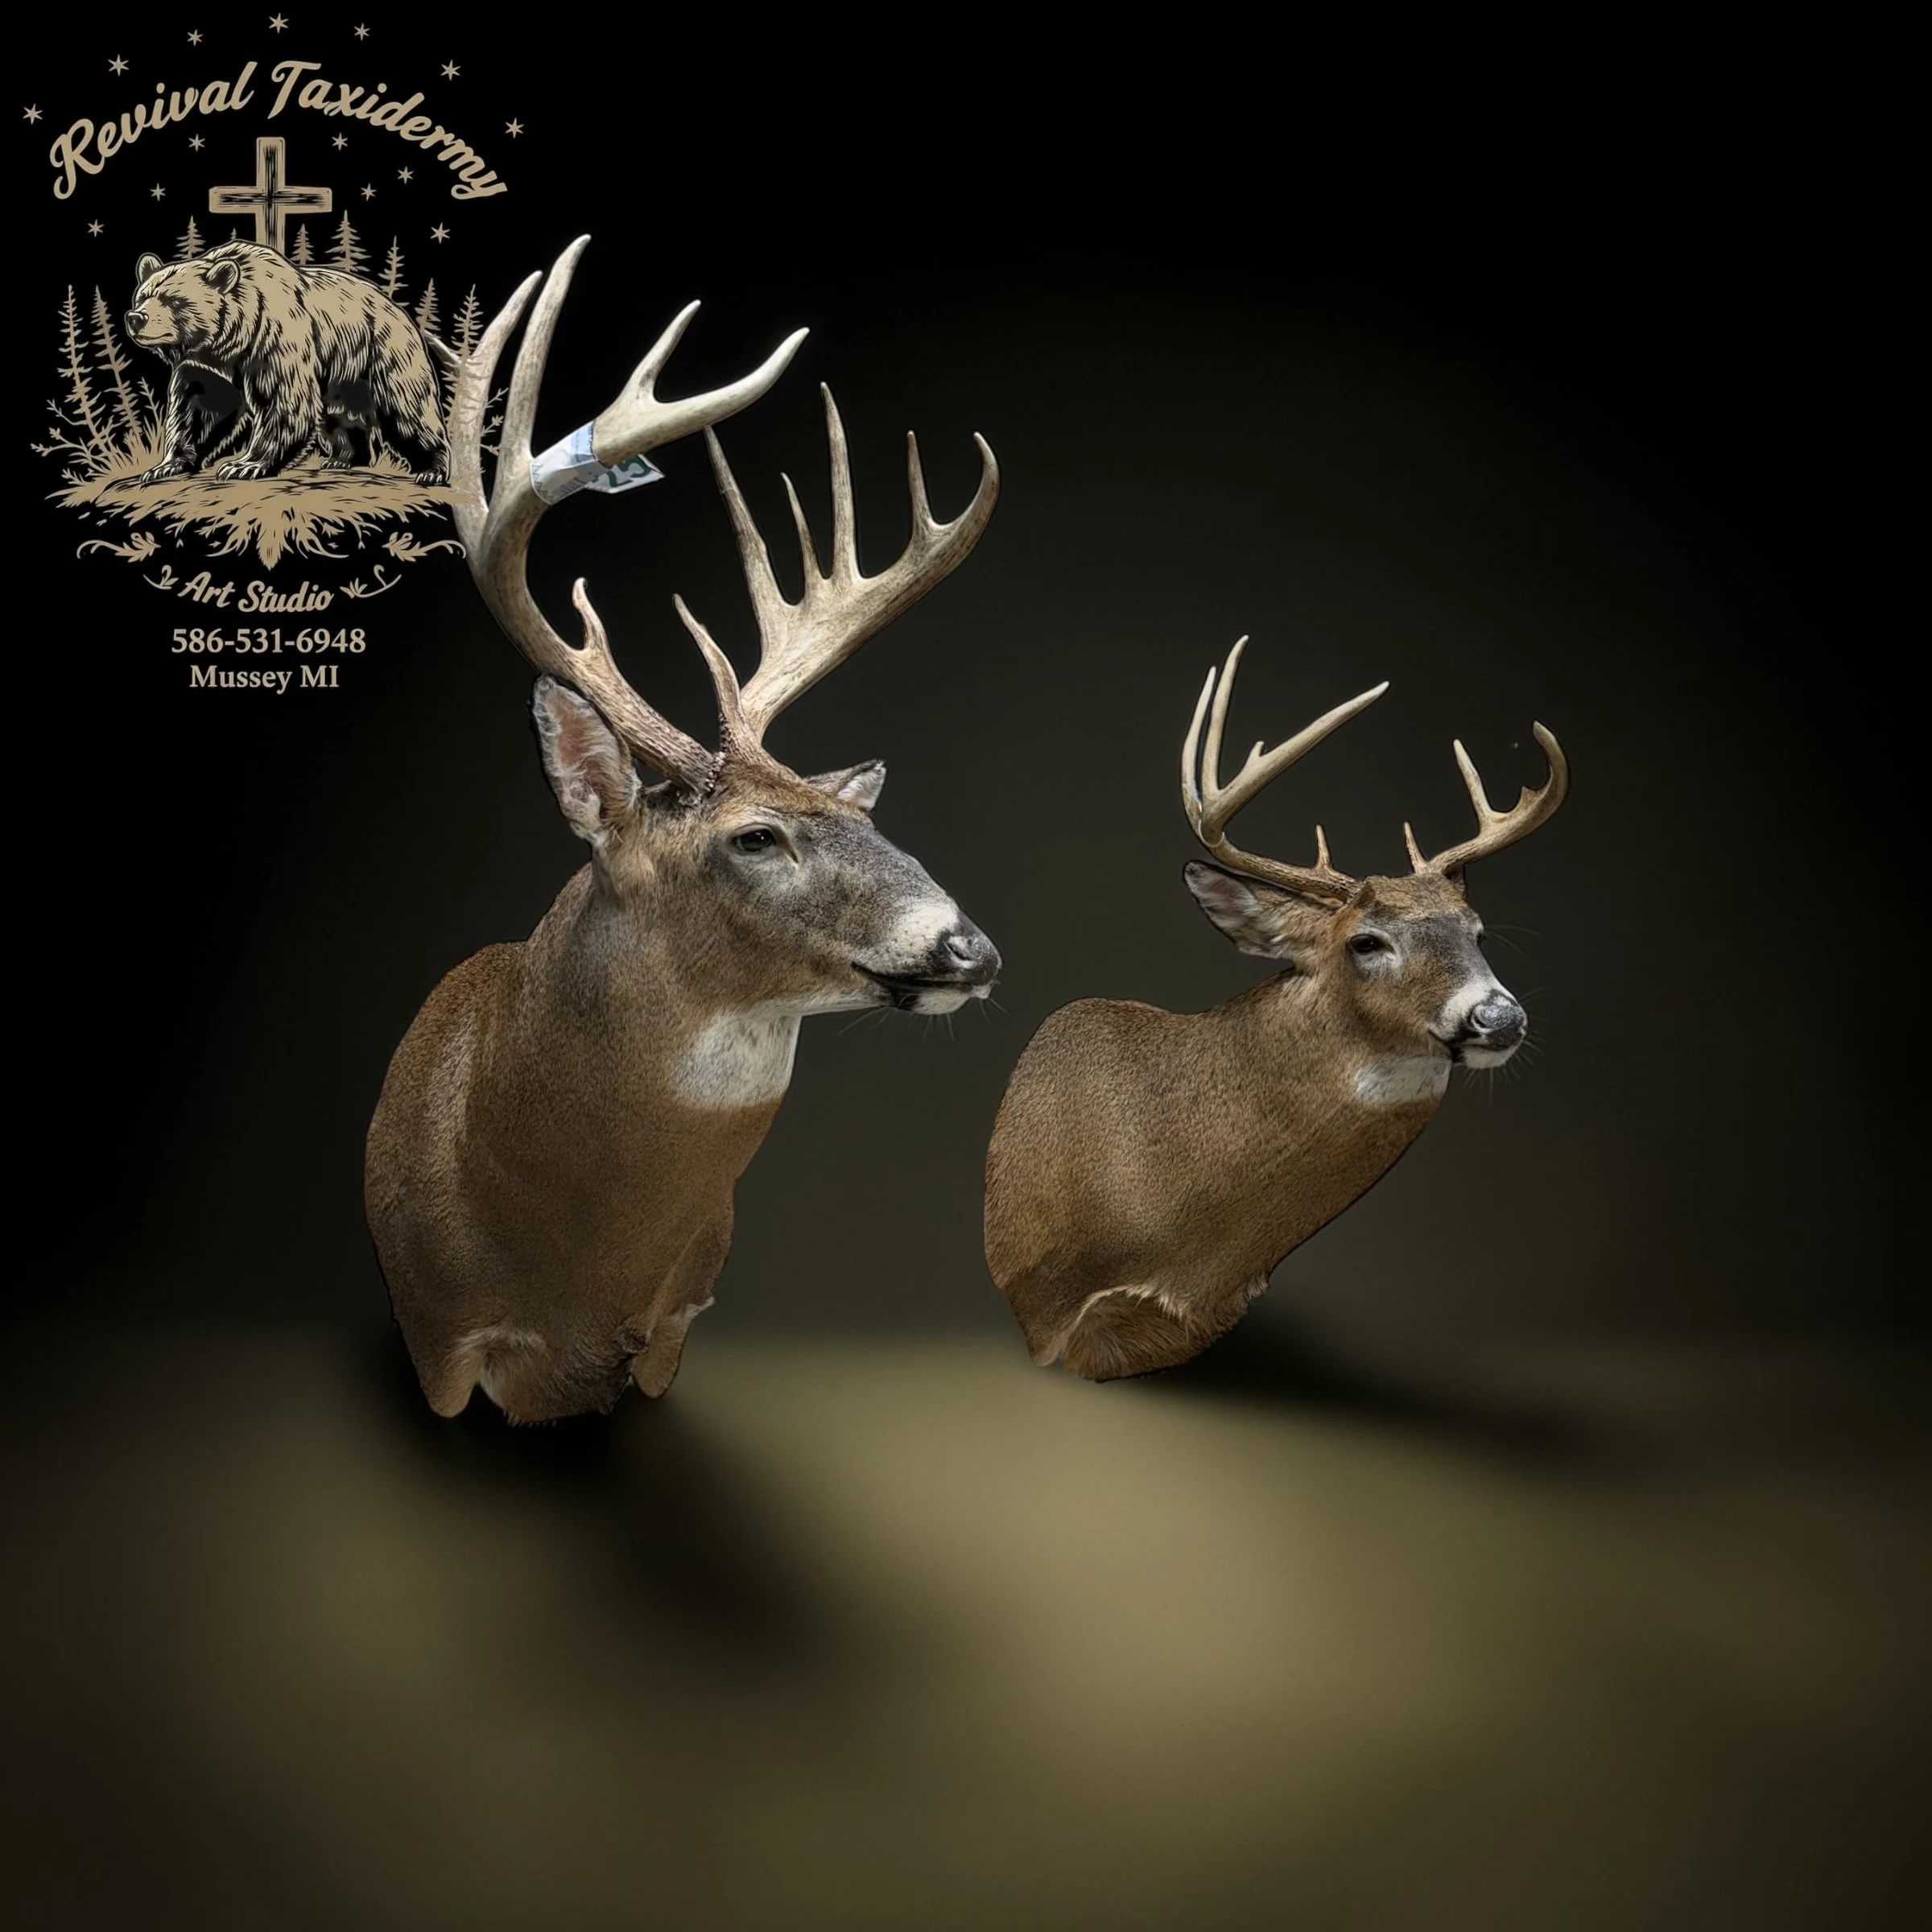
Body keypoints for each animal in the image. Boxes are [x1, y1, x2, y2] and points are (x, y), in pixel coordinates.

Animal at [123, 240, 448, 487]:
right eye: (142, 296)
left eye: (173, 300)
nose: (136, 317)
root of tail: (402, 313)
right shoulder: (205, 365)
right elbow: (198, 408)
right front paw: (166, 465)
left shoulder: (275, 339)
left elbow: (284, 400)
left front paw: (243, 465)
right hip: (344, 376)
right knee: (341, 415)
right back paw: (342, 458)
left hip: (384, 351)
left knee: (408, 409)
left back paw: (432, 469)